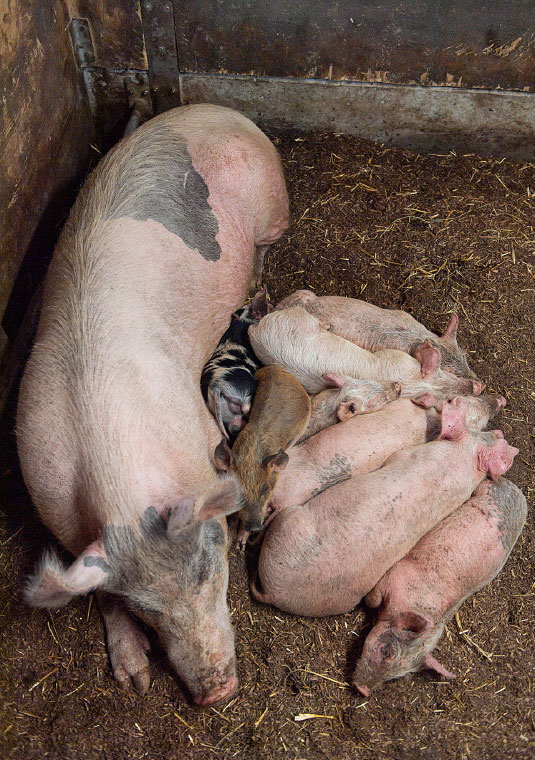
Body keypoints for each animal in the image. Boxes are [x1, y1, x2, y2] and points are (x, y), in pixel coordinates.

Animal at [201, 288, 271, 440]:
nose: (272, 303)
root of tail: (216, 384)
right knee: (245, 407)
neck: (244, 321)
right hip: (245, 386)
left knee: (234, 425)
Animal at [214, 365, 311, 544]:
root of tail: (277, 368)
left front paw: (241, 542)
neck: (252, 452)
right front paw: (232, 538)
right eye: (239, 492)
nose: (253, 527)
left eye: (265, 488)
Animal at [249, 306, 482, 398]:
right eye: (446, 371)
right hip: (297, 316)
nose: (480, 386)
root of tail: (257, 328)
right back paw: (326, 326)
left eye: (466, 357)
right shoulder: (394, 356)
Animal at [252, 399, 518, 617]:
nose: (498, 432)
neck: (457, 464)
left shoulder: (404, 456)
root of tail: (274, 591)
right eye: (480, 433)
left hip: (289, 518)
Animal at [353, 477, 527, 696]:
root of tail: (517, 491)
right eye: (386, 652)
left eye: (395, 676)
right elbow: (373, 600)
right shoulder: (395, 575)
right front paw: (365, 604)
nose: (362, 690)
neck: (415, 604)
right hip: (484, 489)